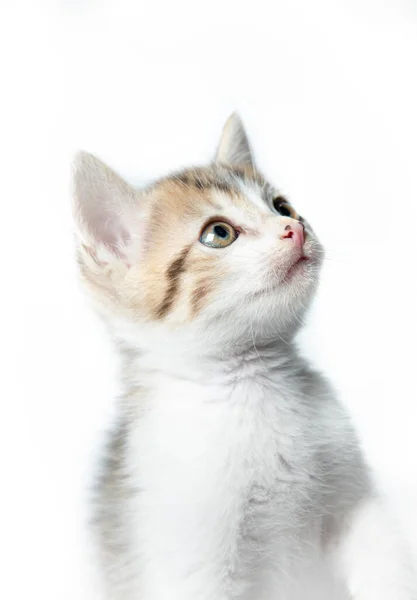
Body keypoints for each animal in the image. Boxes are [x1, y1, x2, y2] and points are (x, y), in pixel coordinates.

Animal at [73, 113, 414, 600]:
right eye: (219, 233)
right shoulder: (195, 558)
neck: (255, 385)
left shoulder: (356, 505)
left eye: (283, 207)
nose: (295, 229)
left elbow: (386, 560)